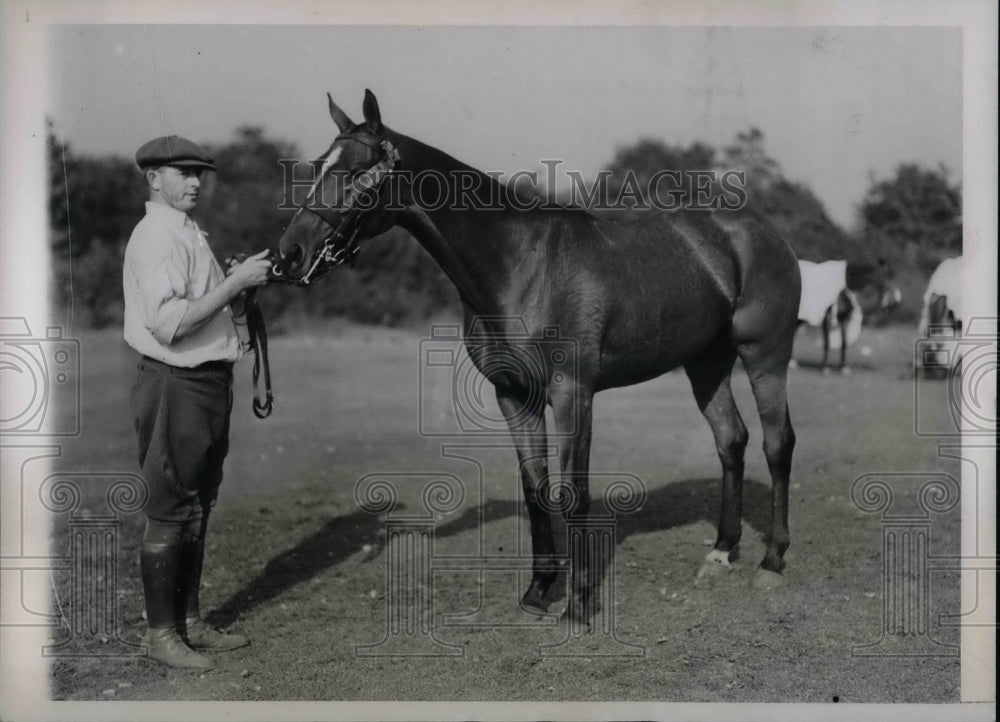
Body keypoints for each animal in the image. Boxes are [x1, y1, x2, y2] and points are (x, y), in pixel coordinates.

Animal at [275, 90, 801, 623]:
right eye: (318, 166)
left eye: (358, 172)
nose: (289, 255)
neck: (517, 264)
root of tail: (764, 233)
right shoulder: (513, 394)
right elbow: (535, 488)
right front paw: (539, 589)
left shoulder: (573, 393)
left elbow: (573, 492)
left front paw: (581, 603)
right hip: (706, 362)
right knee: (730, 440)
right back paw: (721, 552)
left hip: (765, 355)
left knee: (777, 444)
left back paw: (772, 562)